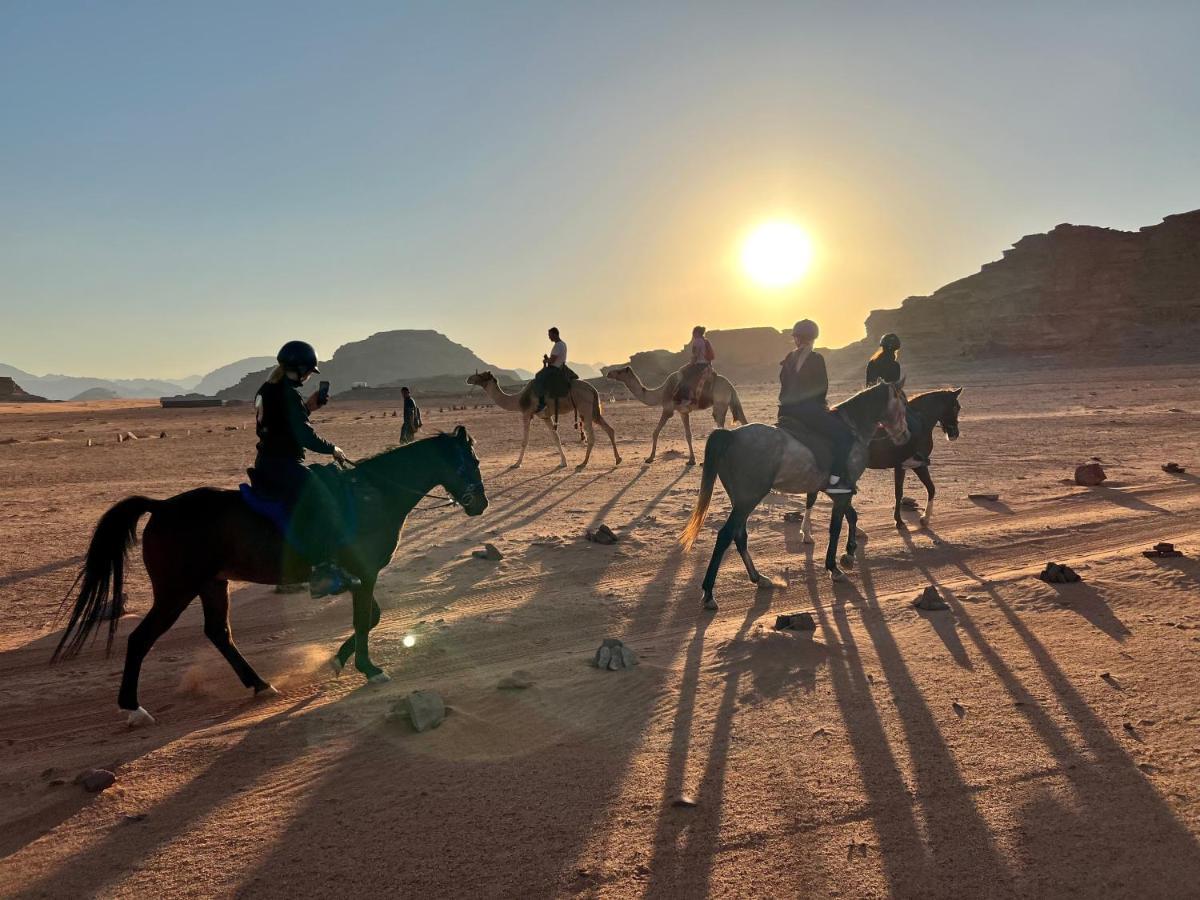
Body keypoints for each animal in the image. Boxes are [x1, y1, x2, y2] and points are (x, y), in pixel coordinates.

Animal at [55, 427, 487, 729]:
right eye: (472, 462)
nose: (480, 504)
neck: (373, 495)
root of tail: (160, 507)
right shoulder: (364, 574)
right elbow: (365, 620)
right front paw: (369, 668)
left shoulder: (359, 576)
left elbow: (372, 617)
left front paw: (337, 661)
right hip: (175, 591)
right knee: (140, 639)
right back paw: (134, 710)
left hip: (213, 584)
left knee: (218, 633)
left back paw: (260, 684)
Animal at [465, 374, 624, 472]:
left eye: (480, 375)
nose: (468, 378)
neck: (518, 399)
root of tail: (593, 389)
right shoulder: (545, 417)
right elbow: (556, 438)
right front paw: (563, 462)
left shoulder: (527, 413)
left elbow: (524, 441)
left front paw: (516, 464)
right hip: (593, 410)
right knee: (610, 429)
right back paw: (617, 459)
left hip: (584, 407)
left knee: (591, 436)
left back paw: (583, 463)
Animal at [604, 364, 744, 465]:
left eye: (620, 371)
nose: (609, 373)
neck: (660, 393)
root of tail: (730, 385)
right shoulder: (683, 412)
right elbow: (688, 435)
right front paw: (691, 460)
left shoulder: (667, 409)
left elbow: (655, 432)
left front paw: (650, 458)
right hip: (730, 401)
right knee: (743, 420)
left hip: (720, 403)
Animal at [801, 388, 960, 535]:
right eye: (955, 407)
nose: (954, 434)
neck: (918, 423)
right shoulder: (909, 465)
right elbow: (907, 492)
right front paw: (908, 520)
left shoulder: (910, 465)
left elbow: (924, 489)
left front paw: (919, 519)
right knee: (815, 495)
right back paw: (808, 531)